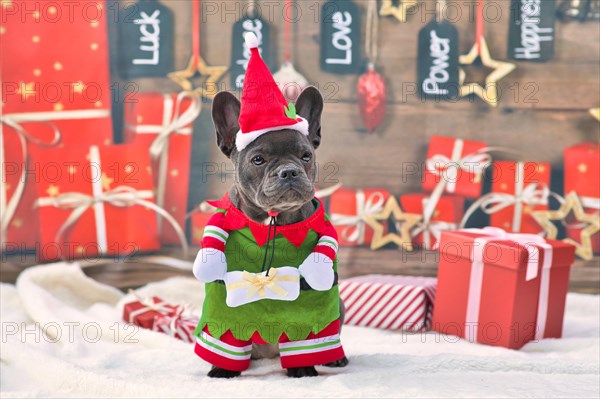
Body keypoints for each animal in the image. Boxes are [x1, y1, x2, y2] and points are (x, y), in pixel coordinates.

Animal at [206, 86, 346, 378]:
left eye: (306, 156)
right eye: (258, 160)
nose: (289, 171)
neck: (273, 220)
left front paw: (302, 370)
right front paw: (222, 369)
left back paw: (335, 358)